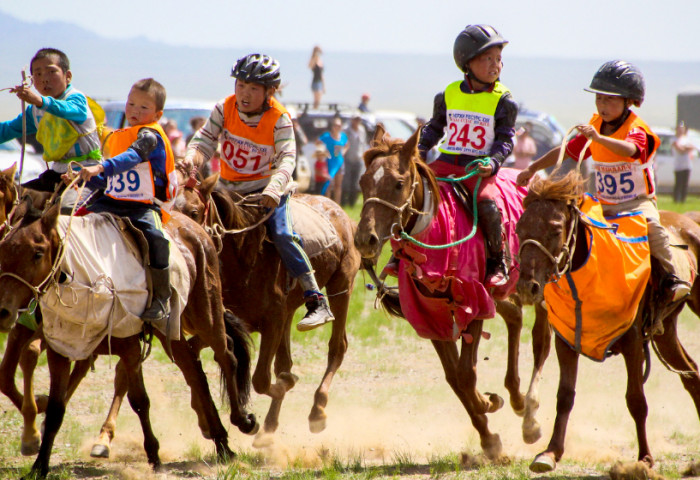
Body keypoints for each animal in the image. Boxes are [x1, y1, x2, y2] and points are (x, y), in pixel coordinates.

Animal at [0, 197, 256, 478]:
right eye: (3, 249)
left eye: (37, 253)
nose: (4, 311)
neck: (90, 282)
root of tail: (194, 228)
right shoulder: (62, 349)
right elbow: (57, 407)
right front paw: (39, 464)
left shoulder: (130, 347)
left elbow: (140, 401)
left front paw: (154, 455)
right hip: (171, 329)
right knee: (195, 372)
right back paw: (221, 441)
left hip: (205, 310)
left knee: (226, 356)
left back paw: (242, 421)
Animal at [174, 172, 360, 438]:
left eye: (194, 211)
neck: (245, 257)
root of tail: (341, 214)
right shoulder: (235, 323)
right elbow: (196, 354)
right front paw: (205, 419)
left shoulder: (272, 322)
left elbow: (261, 379)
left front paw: (286, 384)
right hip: (289, 312)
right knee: (285, 361)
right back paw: (270, 426)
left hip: (342, 285)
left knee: (337, 346)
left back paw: (317, 410)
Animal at [356, 125, 552, 460]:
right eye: (363, 182)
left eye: (398, 183)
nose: (364, 239)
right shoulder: (430, 312)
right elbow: (454, 378)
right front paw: (489, 438)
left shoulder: (474, 300)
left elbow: (466, 373)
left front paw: (487, 404)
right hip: (503, 294)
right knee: (514, 317)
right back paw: (515, 396)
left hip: (539, 287)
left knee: (541, 340)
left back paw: (530, 418)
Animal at [516, 170, 700, 472]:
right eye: (519, 229)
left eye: (555, 229)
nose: (526, 287)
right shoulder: (566, 341)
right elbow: (564, 396)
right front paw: (550, 453)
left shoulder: (633, 341)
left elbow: (636, 400)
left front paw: (645, 458)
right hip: (665, 331)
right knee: (692, 374)